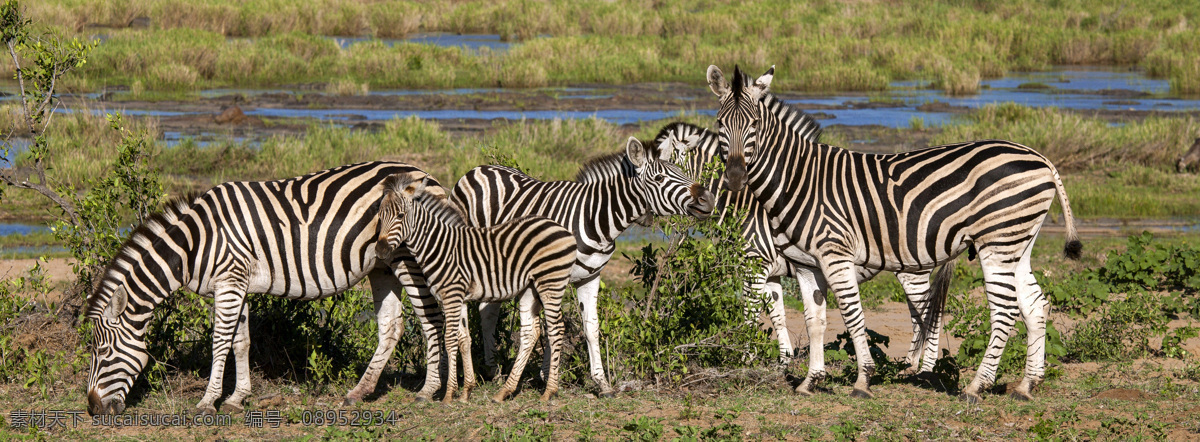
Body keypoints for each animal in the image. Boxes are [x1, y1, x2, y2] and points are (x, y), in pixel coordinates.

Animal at [84, 160, 451, 413]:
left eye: (102, 353)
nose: (92, 409)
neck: (195, 243)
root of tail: (428, 176)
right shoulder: (236, 284)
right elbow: (240, 342)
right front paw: (237, 398)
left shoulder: (229, 281)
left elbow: (220, 342)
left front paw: (207, 402)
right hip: (382, 265)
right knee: (391, 326)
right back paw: (359, 392)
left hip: (410, 258)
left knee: (431, 319)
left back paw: (427, 391)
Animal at [376, 172, 578, 403]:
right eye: (379, 217)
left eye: (400, 216)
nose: (380, 250)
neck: (439, 246)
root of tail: (560, 227)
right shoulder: (459, 298)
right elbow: (464, 339)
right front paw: (466, 391)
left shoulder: (451, 295)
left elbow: (450, 339)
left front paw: (449, 395)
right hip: (530, 288)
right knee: (531, 331)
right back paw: (504, 391)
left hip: (551, 282)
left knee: (556, 329)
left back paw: (549, 391)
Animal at [451, 135, 710, 396]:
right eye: (659, 179)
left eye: (682, 171)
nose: (708, 199)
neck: (596, 220)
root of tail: (480, 168)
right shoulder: (553, 277)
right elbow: (553, 325)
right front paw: (548, 376)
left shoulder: (590, 277)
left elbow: (591, 327)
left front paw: (601, 383)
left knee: (488, 310)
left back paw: (492, 370)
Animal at [657, 121, 945, 377]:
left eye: (662, 172)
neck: (745, 204)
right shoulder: (770, 272)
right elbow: (777, 315)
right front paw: (783, 362)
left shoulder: (756, 266)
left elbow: (750, 313)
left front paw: (743, 359)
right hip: (909, 269)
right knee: (918, 318)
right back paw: (908, 367)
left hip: (913, 271)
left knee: (930, 316)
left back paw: (926, 370)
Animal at [705, 63, 1084, 401]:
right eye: (721, 122)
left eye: (755, 123)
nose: (735, 178)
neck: (798, 179)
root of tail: (1040, 158)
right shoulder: (805, 264)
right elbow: (815, 321)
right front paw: (810, 382)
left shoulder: (835, 255)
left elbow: (852, 316)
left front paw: (862, 381)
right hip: (1017, 244)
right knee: (1035, 305)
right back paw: (1026, 386)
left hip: (996, 244)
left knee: (1004, 311)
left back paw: (977, 387)